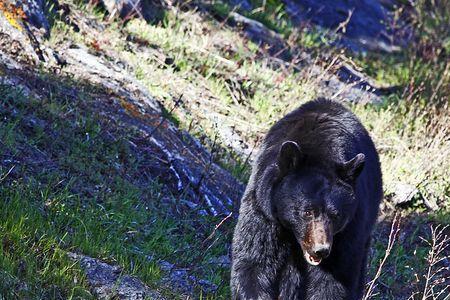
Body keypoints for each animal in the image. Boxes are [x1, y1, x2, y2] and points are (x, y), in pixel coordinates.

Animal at [230, 99, 382, 300]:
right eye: (307, 211)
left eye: (335, 215)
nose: (321, 249)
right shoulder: (263, 210)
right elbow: (255, 259)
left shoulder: (349, 228)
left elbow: (334, 279)